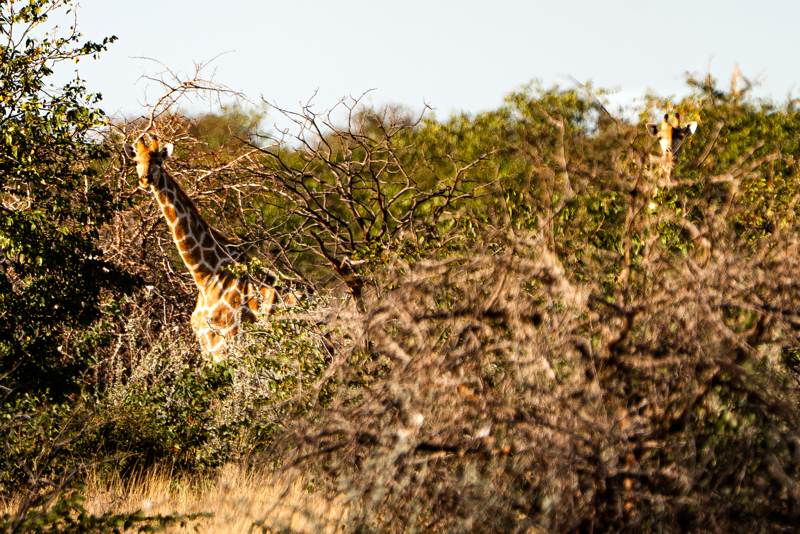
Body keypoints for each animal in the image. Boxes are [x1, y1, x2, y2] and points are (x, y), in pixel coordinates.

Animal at [123, 133, 294, 358]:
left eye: (158, 161)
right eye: (136, 161)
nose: (145, 179)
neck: (204, 274)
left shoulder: (221, 341)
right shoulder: (205, 343)